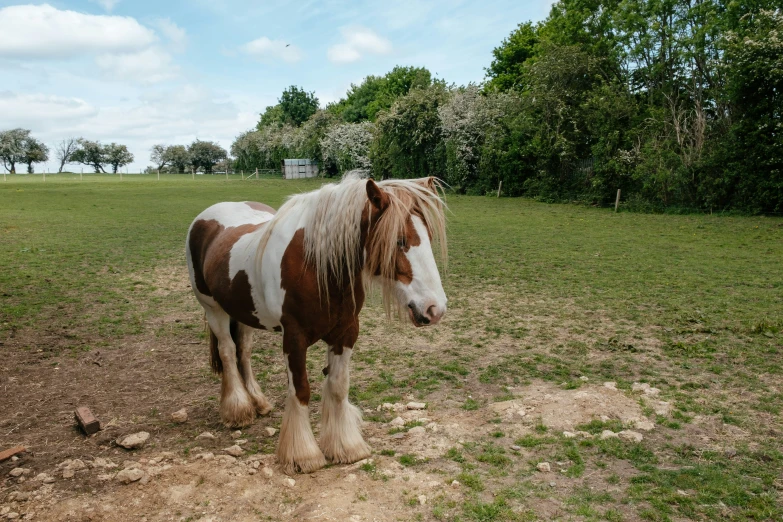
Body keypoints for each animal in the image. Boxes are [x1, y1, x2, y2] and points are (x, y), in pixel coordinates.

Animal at [186, 175, 450, 472]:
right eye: (399, 240)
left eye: (428, 238)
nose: (435, 308)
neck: (314, 266)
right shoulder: (294, 338)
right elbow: (301, 390)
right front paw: (302, 455)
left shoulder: (346, 333)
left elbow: (337, 387)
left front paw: (346, 446)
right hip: (214, 309)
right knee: (228, 352)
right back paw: (238, 410)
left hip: (244, 314)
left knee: (244, 352)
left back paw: (259, 402)